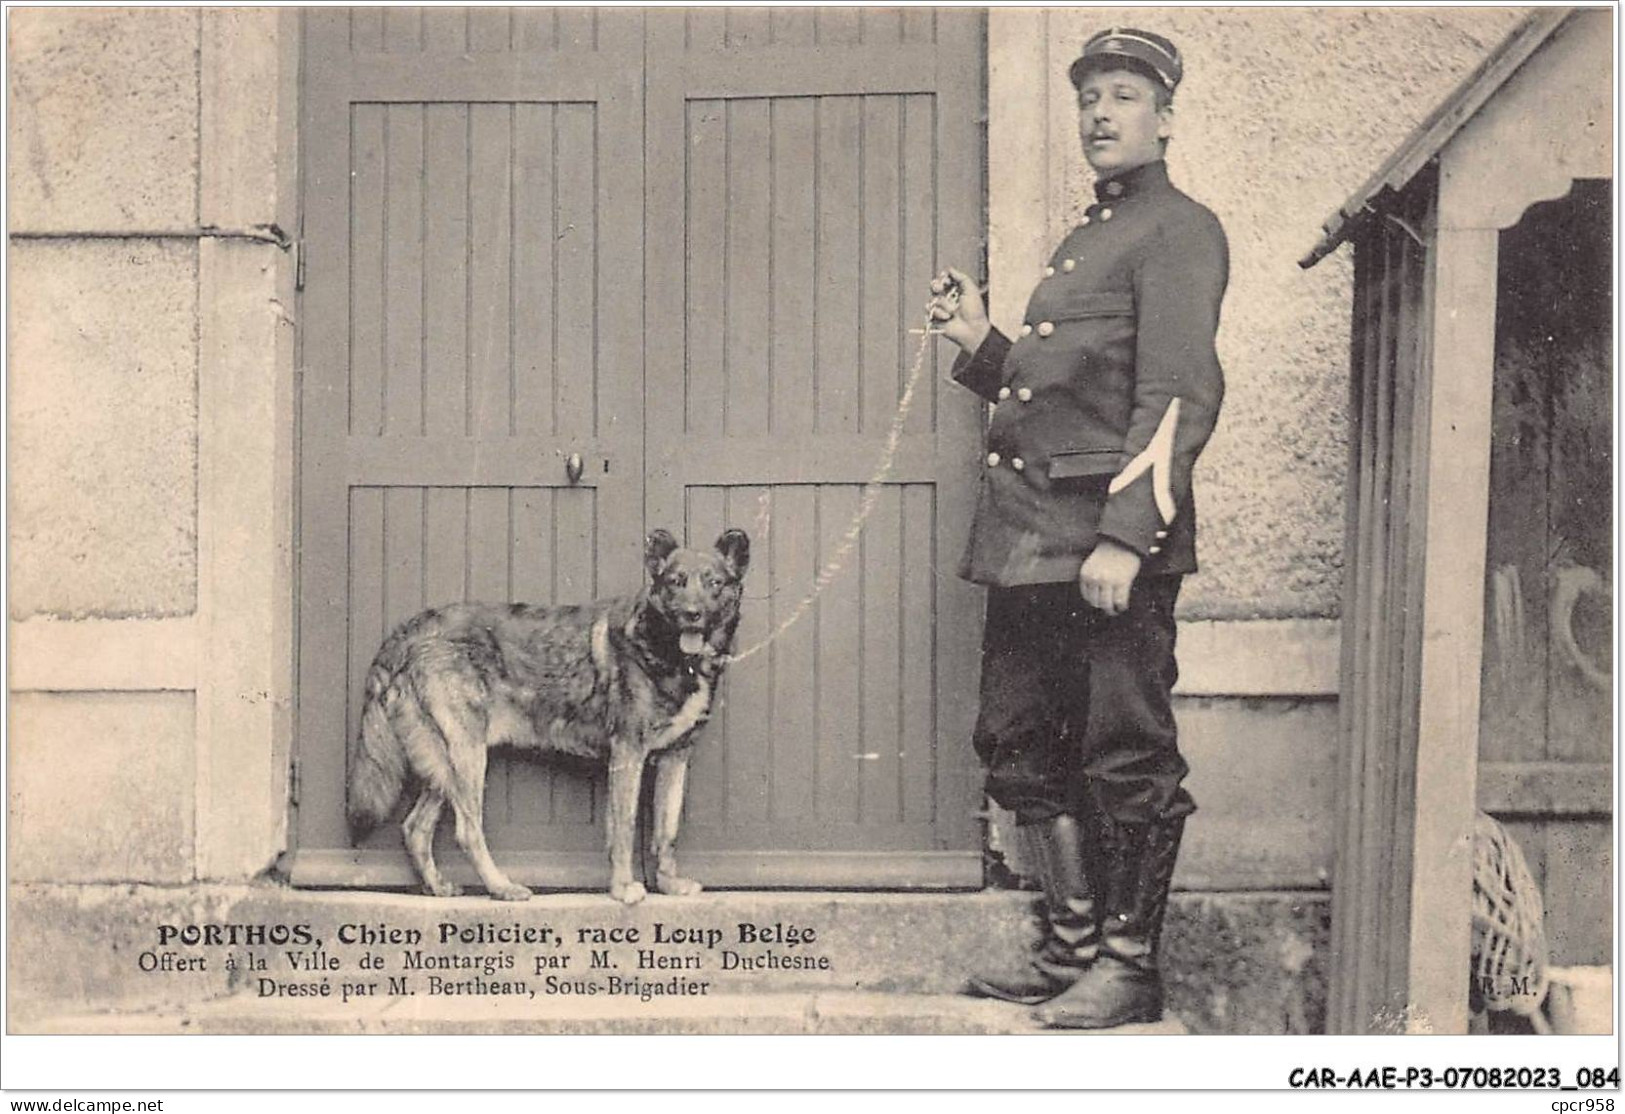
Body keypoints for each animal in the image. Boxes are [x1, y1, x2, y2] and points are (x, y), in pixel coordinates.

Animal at [347, 529, 747, 902]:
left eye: (714, 582)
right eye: (675, 582)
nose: (691, 615)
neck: (668, 652)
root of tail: (408, 631)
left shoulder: (674, 759)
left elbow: (666, 832)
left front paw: (667, 883)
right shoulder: (628, 754)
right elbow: (624, 829)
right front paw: (622, 888)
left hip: (444, 763)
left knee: (415, 828)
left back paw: (439, 887)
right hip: (467, 755)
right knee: (467, 831)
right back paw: (501, 887)